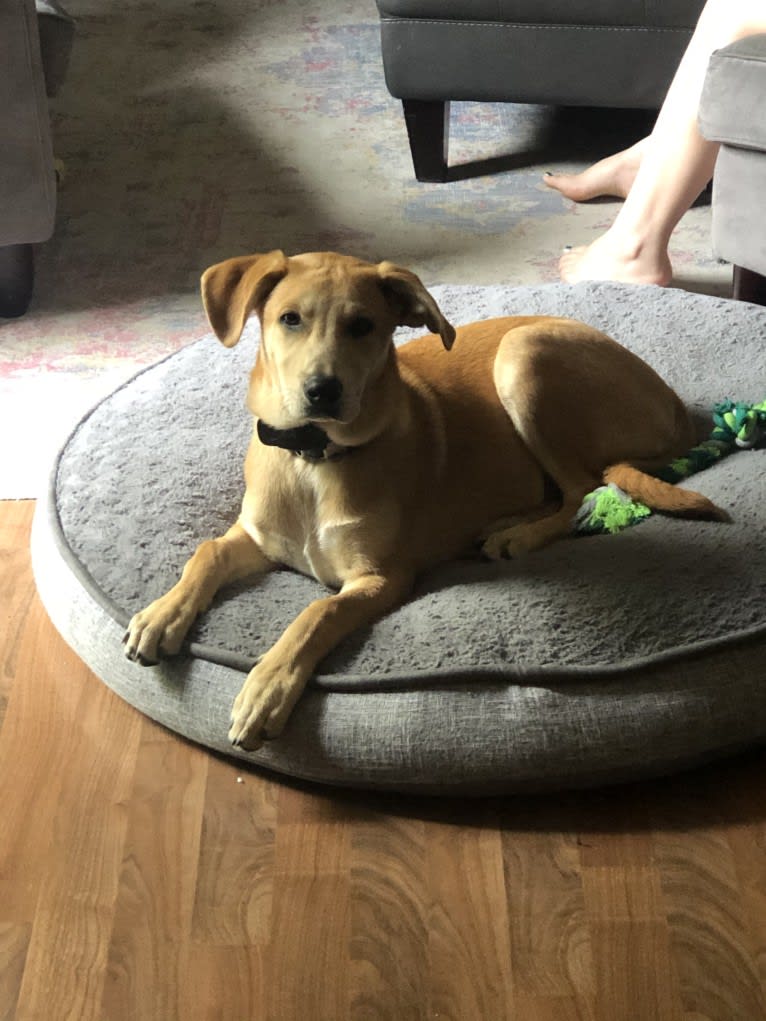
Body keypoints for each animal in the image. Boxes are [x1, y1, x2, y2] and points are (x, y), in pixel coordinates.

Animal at [123, 253, 727, 751]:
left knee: (582, 488)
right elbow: (206, 551)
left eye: (362, 326)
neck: (311, 461)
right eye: (289, 319)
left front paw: (267, 688)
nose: (323, 391)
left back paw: (516, 535)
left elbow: (318, 612)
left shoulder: (382, 577)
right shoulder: (256, 536)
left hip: (525, 357)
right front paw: (162, 615)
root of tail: (678, 413)